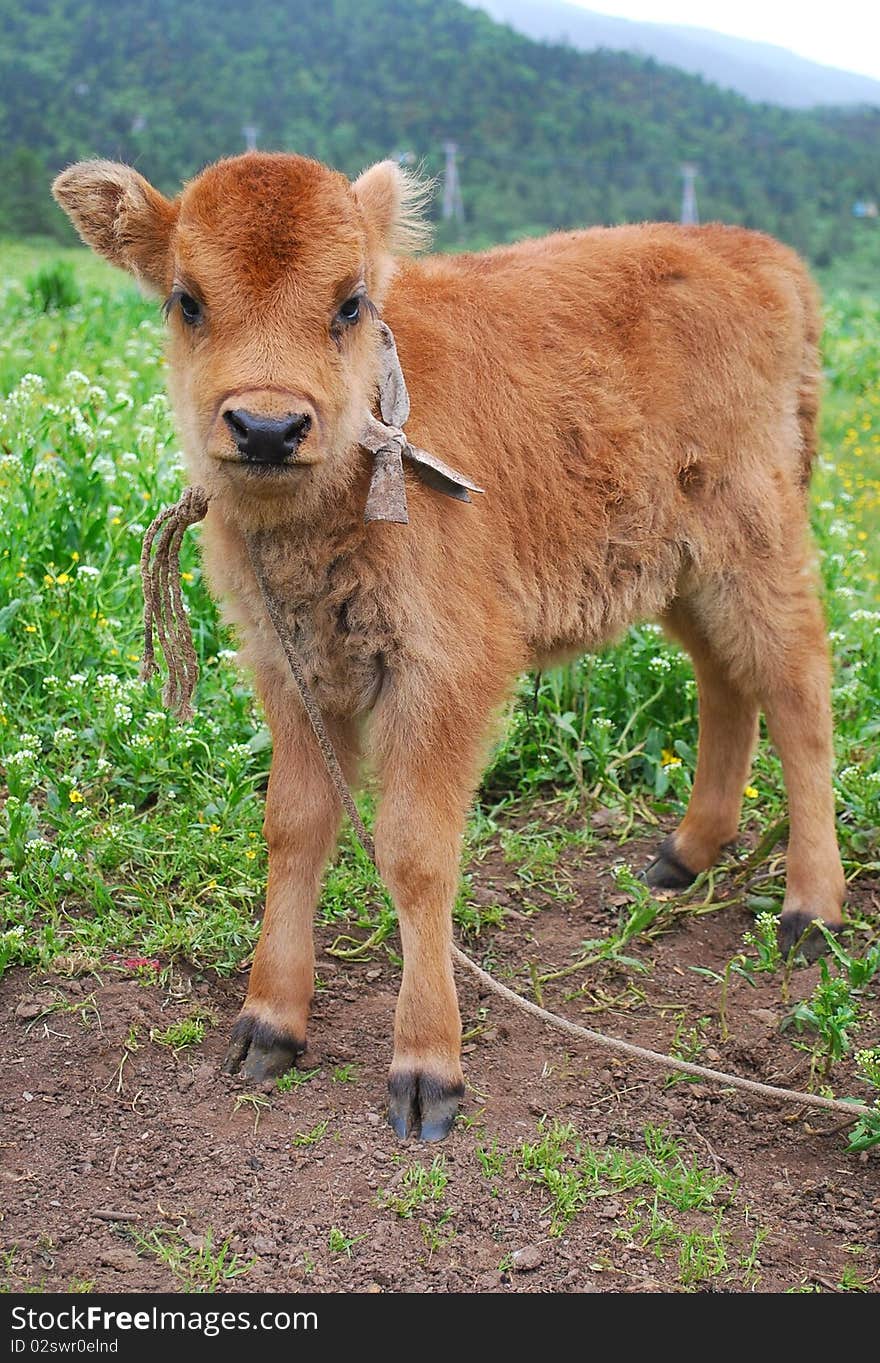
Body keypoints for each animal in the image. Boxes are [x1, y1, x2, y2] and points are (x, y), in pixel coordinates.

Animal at [53, 151, 850, 1139]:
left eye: (352, 302)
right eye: (186, 299)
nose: (268, 429)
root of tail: (764, 259)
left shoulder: (443, 678)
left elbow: (416, 853)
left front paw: (428, 1071)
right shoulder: (292, 670)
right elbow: (295, 827)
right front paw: (267, 1026)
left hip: (755, 549)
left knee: (798, 691)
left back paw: (811, 911)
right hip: (680, 569)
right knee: (722, 679)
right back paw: (682, 855)